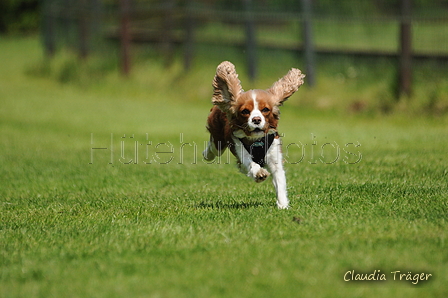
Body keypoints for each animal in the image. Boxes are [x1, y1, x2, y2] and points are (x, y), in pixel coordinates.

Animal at [204, 61, 304, 208]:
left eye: (265, 109)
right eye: (245, 111)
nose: (256, 119)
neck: (256, 140)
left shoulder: (274, 157)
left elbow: (279, 181)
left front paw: (283, 206)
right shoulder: (240, 149)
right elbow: (251, 164)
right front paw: (260, 174)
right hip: (218, 142)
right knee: (213, 148)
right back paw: (206, 155)